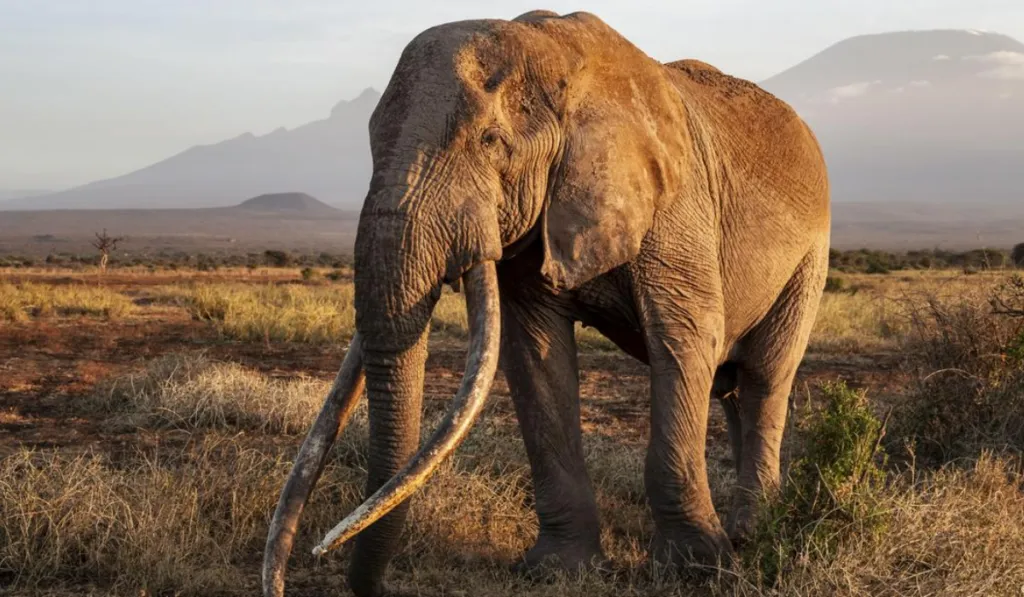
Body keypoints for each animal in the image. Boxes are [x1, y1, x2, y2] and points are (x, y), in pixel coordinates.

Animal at [263, 9, 830, 597]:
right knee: (732, 386)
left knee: (764, 377)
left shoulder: (677, 205)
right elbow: (535, 354)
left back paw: (751, 533)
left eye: (492, 141)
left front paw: (698, 571)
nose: (321, 558)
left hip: (811, 256)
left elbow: (684, 339)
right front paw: (558, 570)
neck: (557, 55)